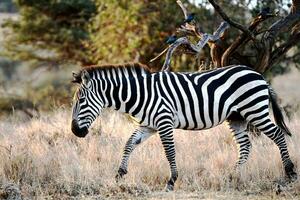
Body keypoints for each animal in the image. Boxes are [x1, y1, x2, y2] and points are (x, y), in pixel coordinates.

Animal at [71, 62, 298, 191]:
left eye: (80, 101)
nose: (75, 131)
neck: (140, 94)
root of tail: (259, 75)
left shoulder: (164, 122)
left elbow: (169, 152)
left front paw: (171, 181)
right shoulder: (147, 126)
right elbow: (128, 144)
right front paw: (119, 174)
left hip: (255, 109)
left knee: (278, 135)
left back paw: (290, 172)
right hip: (237, 117)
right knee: (245, 146)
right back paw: (233, 176)